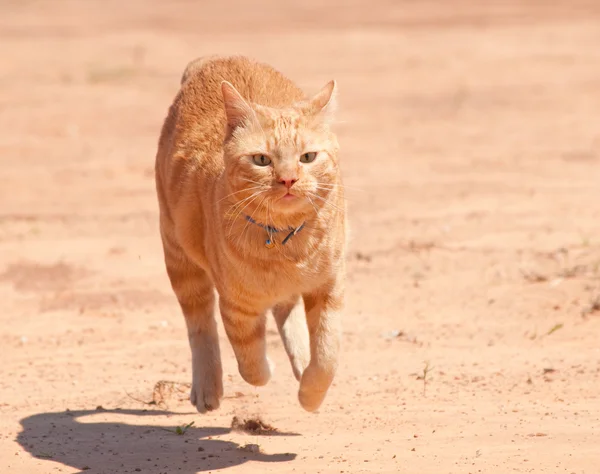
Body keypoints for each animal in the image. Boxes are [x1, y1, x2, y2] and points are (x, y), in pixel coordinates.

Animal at [155, 54, 346, 412]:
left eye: (308, 157)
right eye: (261, 160)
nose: (288, 179)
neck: (287, 242)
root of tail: (217, 57)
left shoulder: (329, 290)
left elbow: (327, 356)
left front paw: (311, 394)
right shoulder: (237, 307)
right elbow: (251, 363)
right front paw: (269, 370)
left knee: (287, 310)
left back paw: (301, 361)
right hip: (179, 256)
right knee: (200, 323)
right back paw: (208, 387)